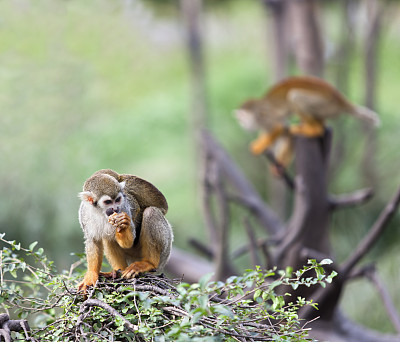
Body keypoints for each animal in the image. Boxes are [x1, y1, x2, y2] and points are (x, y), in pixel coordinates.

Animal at [236, 77, 380, 168]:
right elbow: (281, 131)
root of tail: (340, 99)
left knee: (294, 96)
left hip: (325, 104)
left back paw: (313, 129)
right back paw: (318, 124)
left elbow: (279, 126)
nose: (242, 125)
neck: (256, 113)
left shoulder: (265, 116)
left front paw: (258, 147)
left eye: (242, 119)